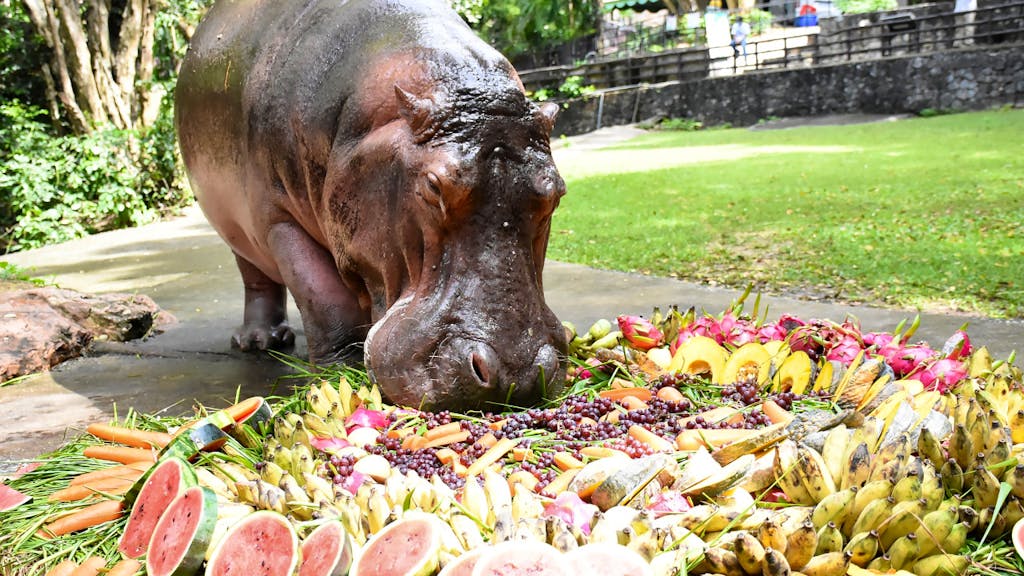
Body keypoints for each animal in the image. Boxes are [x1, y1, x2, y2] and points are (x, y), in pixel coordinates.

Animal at [175, 0, 568, 410]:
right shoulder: (280, 219)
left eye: (557, 190)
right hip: (238, 231)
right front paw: (340, 372)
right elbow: (324, 300)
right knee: (255, 277)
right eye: (433, 186)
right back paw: (258, 341)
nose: (514, 375)